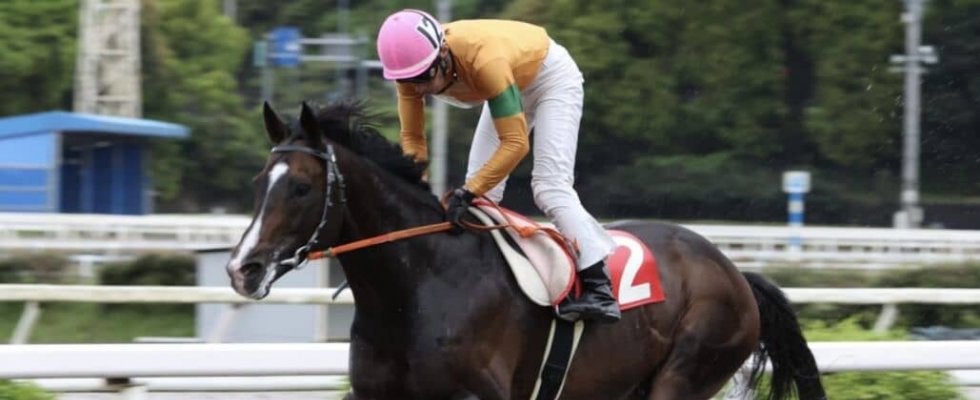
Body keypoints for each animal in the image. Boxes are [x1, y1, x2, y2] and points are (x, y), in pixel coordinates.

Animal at [225, 100, 827, 400]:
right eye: (258, 183)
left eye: (301, 188)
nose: (241, 269)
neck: (415, 288)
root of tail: (735, 272)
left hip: (686, 373)